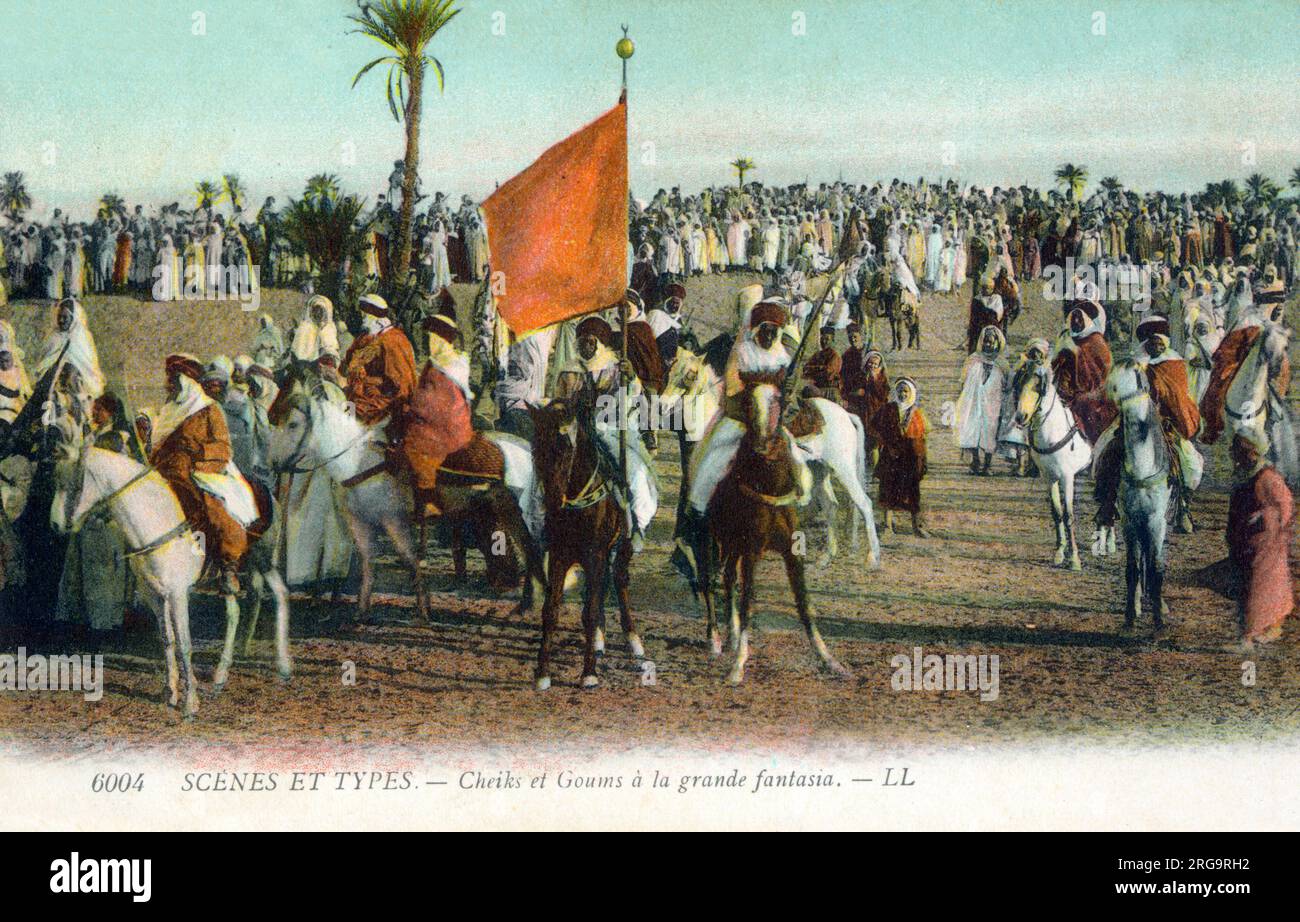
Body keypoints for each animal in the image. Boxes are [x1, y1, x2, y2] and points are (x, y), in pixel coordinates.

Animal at [49, 429, 288, 717]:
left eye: (72, 483)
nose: (55, 524)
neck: (155, 520)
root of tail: (268, 493)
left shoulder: (177, 594)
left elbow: (185, 644)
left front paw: (191, 701)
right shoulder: (155, 595)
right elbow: (168, 640)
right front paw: (171, 692)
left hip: (264, 559)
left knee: (280, 594)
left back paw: (283, 666)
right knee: (235, 613)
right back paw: (221, 673)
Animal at [266, 384, 546, 621]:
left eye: (293, 424)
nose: (274, 464)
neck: (359, 460)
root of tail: (526, 448)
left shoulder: (394, 519)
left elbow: (409, 558)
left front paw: (423, 609)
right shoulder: (361, 522)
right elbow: (368, 563)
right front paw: (361, 612)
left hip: (521, 514)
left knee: (533, 551)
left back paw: (528, 606)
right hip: (507, 511)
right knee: (530, 552)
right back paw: (525, 606)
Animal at [527, 397, 650, 686]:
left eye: (566, 448)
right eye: (536, 447)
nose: (552, 501)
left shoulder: (596, 554)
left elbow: (591, 610)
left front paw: (589, 673)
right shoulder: (559, 554)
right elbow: (551, 610)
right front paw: (543, 673)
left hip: (622, 549)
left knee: (619, 581)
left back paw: (634, 643)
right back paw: (599, 642)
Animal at [696, 382, 847, 681]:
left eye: (780, 402)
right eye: (748, 404)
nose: (762, 444)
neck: (768, 490)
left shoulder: (792, 553)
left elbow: (804, 604)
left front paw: (828, 658)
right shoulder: (752, 552)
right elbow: (748, 601)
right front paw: (738, 665)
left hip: (733, 546)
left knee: (728, 576)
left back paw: (731, 635)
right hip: (710, 538)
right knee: (709, 582)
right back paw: (715, 639)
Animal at [1008, 361, 1092, 566]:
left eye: (1038, 387)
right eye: (1019, 385)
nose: (1021, 417)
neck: (1054, 432)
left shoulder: (1067, 477)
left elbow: (1068, 514)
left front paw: (1074, 558)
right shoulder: (1049, 477)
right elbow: (1056, 512)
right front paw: (1060, 552)